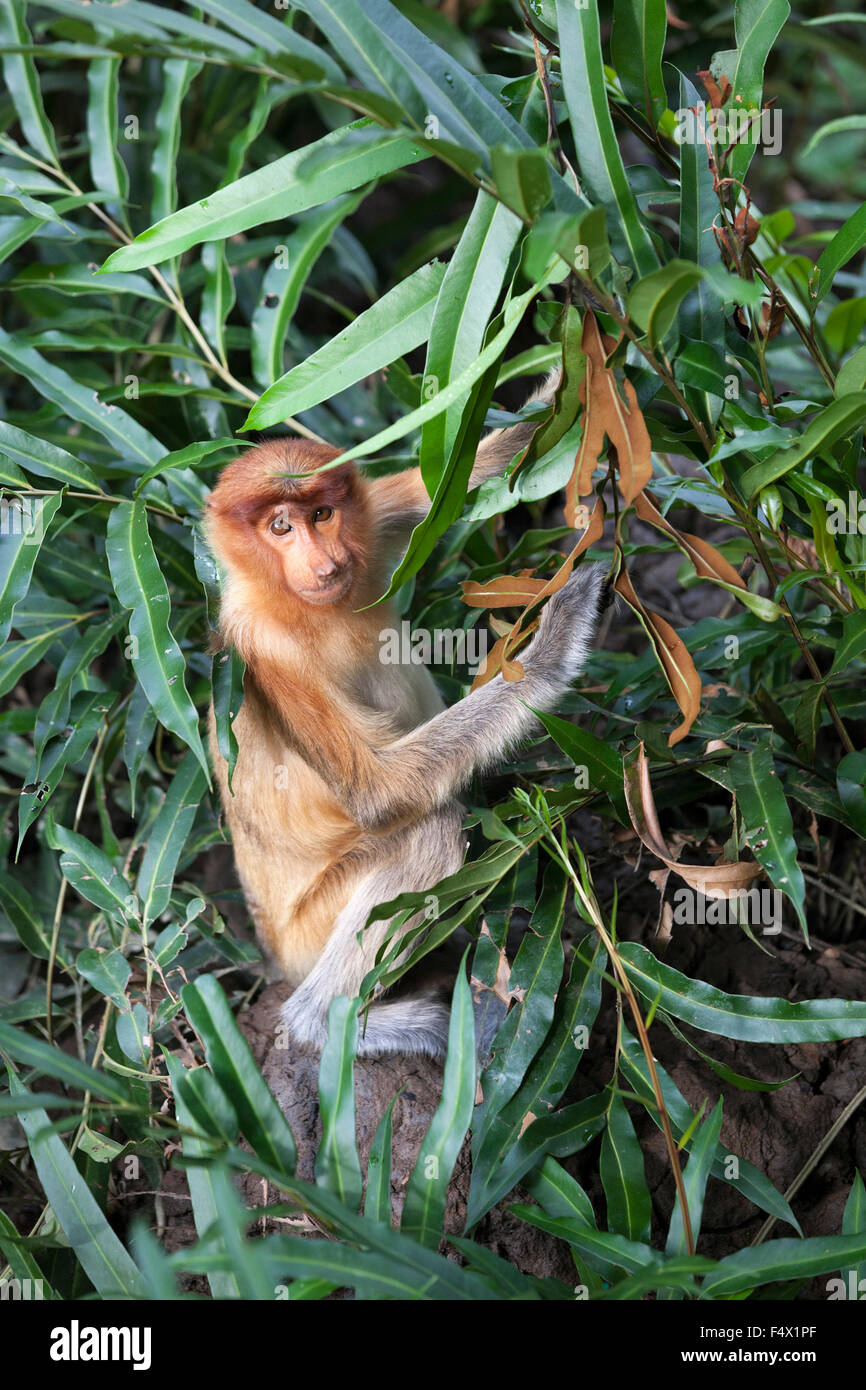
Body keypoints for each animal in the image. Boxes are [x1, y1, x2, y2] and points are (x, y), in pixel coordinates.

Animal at [207, 380, 606, 1050]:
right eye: (280, 527)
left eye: (323, 514)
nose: (323, 564)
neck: (298, 604)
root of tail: (272, 954)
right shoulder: (267, 651)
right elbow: (377, 793)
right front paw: (557, 638)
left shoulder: (370, 516)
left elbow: (457, 478)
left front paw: (582, 373)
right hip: (309, 935)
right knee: (427, 830)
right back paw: (327, 1023)